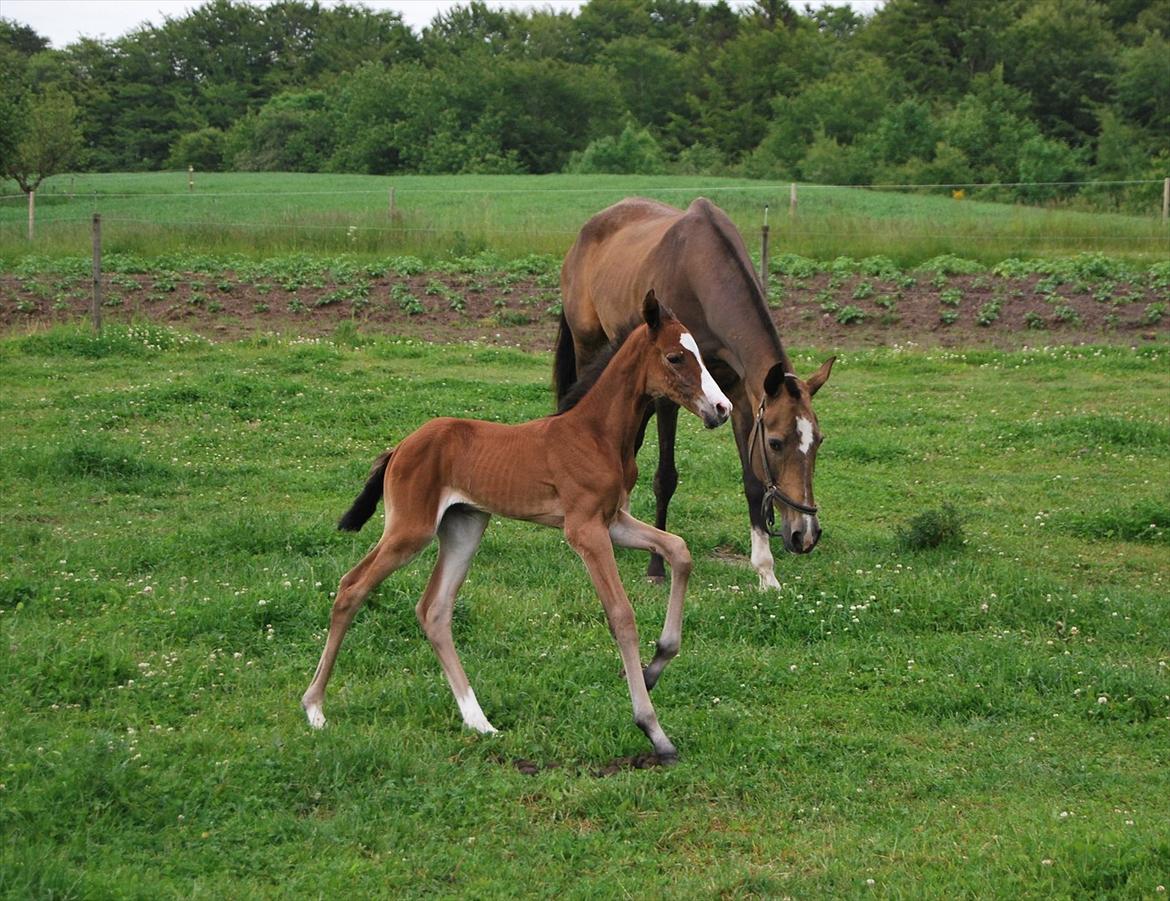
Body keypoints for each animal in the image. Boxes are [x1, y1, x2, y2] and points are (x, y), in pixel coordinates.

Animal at [301, 291, 730, 762]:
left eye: (699, 354)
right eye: (675, 357)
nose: (722, 409)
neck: (596, 433)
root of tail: (399, 448)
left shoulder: (613, 521)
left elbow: (679, 550)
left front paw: (657, 665)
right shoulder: (584, 531)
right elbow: (622, 615)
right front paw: (654, 730)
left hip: (464, 527)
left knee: (434, 609)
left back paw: (479, 722)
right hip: (410, 530)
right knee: (352, 587)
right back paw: (315, 708)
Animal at [554, 196, 833, 589]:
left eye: (818, 441)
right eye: (776, 443)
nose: (805, 535)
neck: (701, 273)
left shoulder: (739, 394)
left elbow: (752, 480)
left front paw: (765, 571)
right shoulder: (666, 397)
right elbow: (664, 479)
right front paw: (656, 566)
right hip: (588, 345)